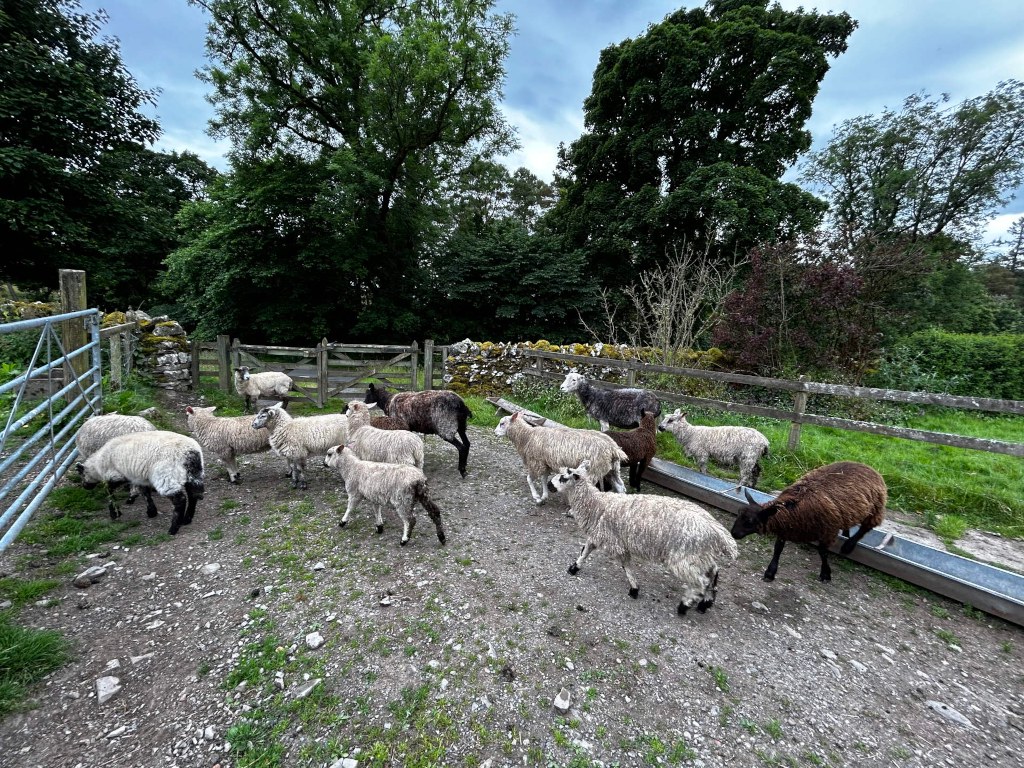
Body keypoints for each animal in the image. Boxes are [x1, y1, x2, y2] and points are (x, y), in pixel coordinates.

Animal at [76, 430, 205, 535]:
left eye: (81, 475)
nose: (85, 486)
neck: (98, 466)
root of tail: (190, 453)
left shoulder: (117, 475)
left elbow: (109, 491)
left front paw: (114, 513)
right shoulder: (139, 477)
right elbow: (145, 492)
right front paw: (151, 511)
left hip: (166, 476)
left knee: (180, 500)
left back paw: (173, 529)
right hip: (194, 474)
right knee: (193, 495)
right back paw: (187, 519)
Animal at [494, 412, 628, 503]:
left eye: (502, 423)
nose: (495, 433)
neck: (527, 436)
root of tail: (614, 449)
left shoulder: (536, 463)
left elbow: (529, 479)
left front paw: (536, 497)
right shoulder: (545, 463)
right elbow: (543, 479)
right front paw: (544, 495)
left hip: (593, 470)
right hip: (613, 469)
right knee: (621, 487)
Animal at [548, 459, 738, 615]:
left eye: (563, 477)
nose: (550, 484)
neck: (595, 505)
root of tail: (721, 535)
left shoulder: (614, 541)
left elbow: (625, 565)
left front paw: (634, 589)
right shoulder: (600, 534)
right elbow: (585, 550)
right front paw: (574, 567)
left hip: (684, 557)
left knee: (701, 582)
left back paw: (684, 605)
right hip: (700, 555)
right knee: (713, 572)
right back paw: (706, 603)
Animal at [730, 461, 887, 583]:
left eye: (750, 521)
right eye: (738, 513)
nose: (733, 533)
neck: (793, 507)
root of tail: (868, 467)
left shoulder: (828, 530)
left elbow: (822, 552)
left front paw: (825, 574)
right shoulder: (786, 528)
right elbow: (777, 549)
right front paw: (770, 572)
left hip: (876, 506)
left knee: (866, 527)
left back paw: (848, 545)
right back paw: (846, 536)